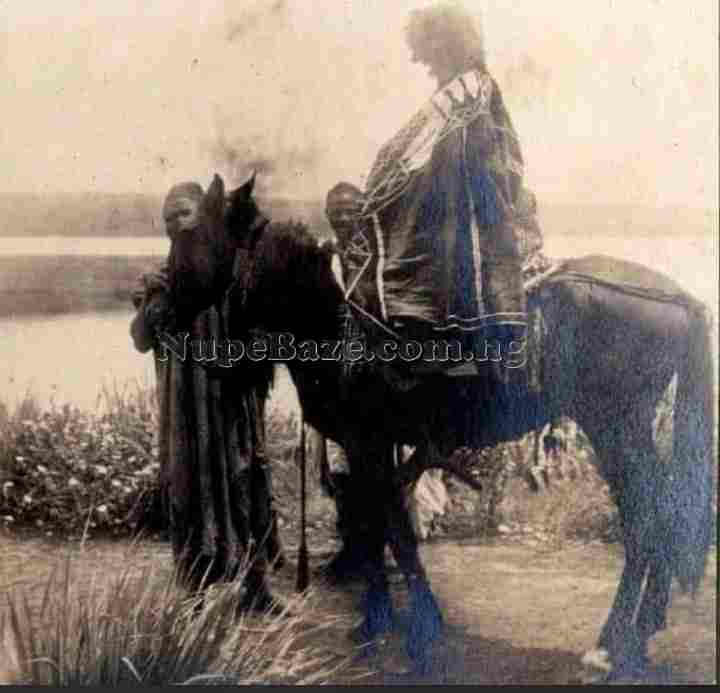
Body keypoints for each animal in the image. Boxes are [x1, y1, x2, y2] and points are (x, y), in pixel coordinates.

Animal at [165, 174, 716, 680]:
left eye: (190, 233)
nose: (160, 304)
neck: (334, 326)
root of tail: (677, 297)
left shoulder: (367, 442)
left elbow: (387, 527)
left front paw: (398, 622)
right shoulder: (378, 446)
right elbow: (384, 523)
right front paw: (394, 617)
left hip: (615, 426)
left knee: (647, 519)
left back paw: (615, 643)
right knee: (662, 513)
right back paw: (639, 633)